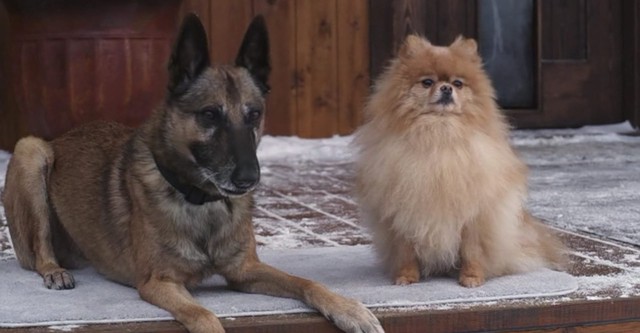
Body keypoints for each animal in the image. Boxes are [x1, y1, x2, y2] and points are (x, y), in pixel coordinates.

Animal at [2, 13, 382, 332]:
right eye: (210, 114)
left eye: (254, 114)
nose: (249, 179)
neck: (201, 201)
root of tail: (62, 137)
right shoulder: (159, 283)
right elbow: (203, 315)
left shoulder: (245, 272)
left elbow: (307, 281)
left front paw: (349, 309)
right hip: (31, 152)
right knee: (40, 250)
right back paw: (54, 271)